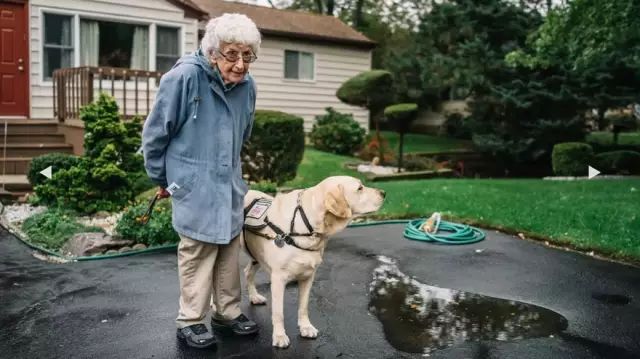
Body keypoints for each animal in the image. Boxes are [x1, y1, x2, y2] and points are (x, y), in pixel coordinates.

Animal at [242, 177, 384, 348]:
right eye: (359, 188)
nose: (384, 193)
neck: (304, 226)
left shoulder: (308, 276)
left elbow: (303, 306)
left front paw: (306, 327)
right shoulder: (278, 279)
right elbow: (278, 312)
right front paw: (279, 336)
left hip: (256, 255)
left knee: (247, 272)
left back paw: (254, 297)